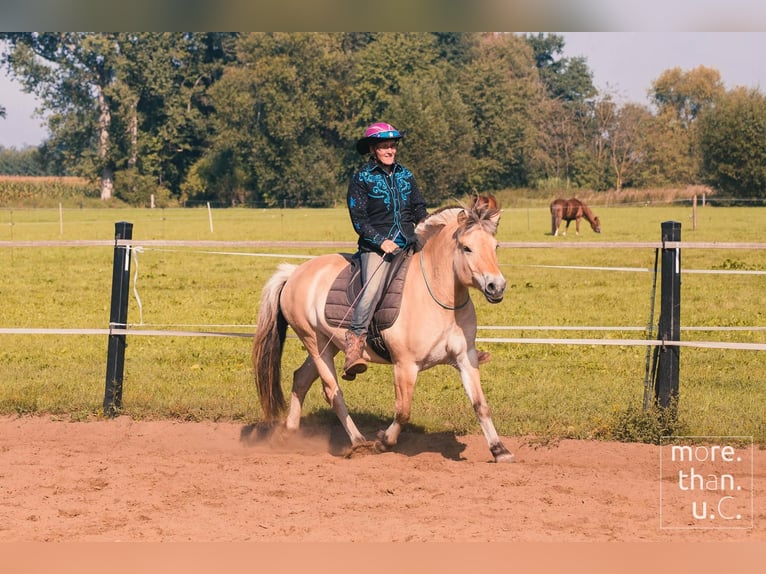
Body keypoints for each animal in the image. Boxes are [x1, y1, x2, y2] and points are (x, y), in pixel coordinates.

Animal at [254, 196, 516, 466]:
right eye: (466, 248)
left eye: (495, 246)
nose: (496, 287)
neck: (439, 299)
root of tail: (295, 272)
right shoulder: (405, 365)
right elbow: (403, 411)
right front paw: (383, 442)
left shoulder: (466, 358)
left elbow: (480, 405)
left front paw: (499, 450)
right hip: (315, 344)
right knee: (333, 393)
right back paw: (359, 442)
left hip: (329, 344)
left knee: (300, 379)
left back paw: (287, 434)